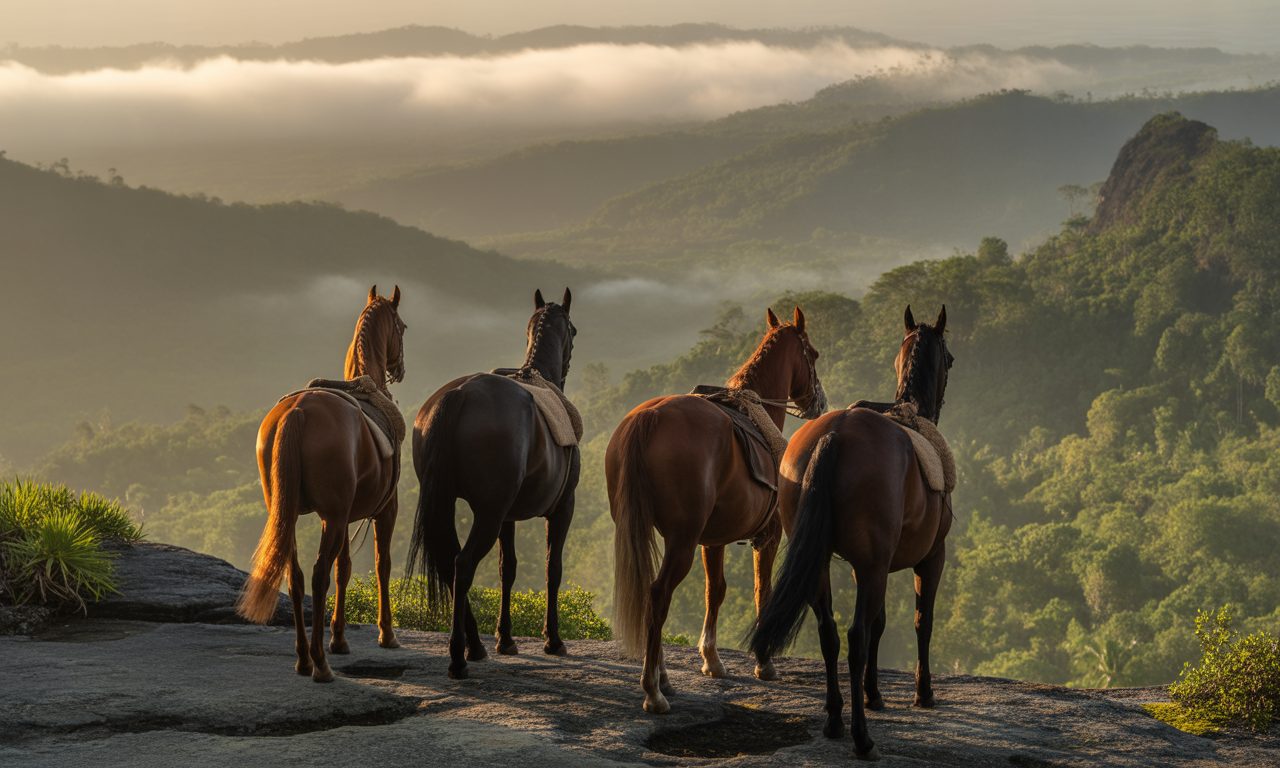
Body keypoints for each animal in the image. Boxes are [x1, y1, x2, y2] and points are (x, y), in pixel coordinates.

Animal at [237, 285, 408, 684]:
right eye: (403, 327)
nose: (400, 369)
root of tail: (298, 411)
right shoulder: (384, 509)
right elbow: (381, 564)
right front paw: (386, 634)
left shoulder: (346, 515)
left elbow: (344, 569)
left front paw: (339, 639)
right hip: (332, 516)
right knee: (316, 577)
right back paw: (320, 665)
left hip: (289, 514)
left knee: (297, 577)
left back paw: (303, 658)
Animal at [407, 288, 579, 680]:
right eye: (574, 331)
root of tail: (459, 394)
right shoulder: (563, 507)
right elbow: (553, 568)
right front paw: (553, 640)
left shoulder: (508, 517)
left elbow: (507, 569)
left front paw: (505, 638)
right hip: (487, 513)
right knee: (463, 564)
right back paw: (459, 656)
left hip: (450, 503)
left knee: (450, 563)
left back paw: (475, 645)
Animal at [608, 306, 828, 715]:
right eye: (814, 354)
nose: (819, 403)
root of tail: (649, 417)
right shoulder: (768, 536)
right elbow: (762, 591)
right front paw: (764, 662)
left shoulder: (713, 541)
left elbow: (717, 590)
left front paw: (711, 658)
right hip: (681, 539)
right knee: (658, 593)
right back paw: (653, 689)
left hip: (643, 528)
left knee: (649, 593)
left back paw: (661, 675)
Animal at [749, 305, 954, 761]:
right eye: (950, 359)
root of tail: (834, 434)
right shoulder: (928, 558)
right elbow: (920, 620)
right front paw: (922, 693)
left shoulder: (877, 564)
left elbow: (879, 622)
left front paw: (873, 694)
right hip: (875, 564)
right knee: (855, 637)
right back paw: (862, 738)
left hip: (821, 561)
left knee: (828, 632)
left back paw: (833, 719)